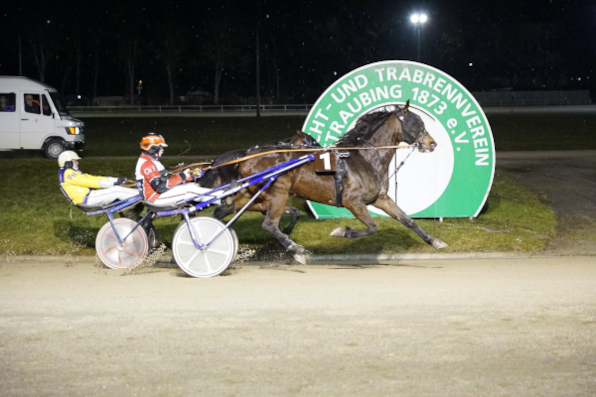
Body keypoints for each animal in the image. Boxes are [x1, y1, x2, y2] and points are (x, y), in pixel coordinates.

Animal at [212, 101, 450, 256]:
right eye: (416, 122)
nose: (432, 143)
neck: (365, 158)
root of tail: (246, 156)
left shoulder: (380, 199)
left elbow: (407, 220)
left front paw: (435, 241)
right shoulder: (353, 202)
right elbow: (372, 227)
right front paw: (342, 231)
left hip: (251, 195)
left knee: (223, 211)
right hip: (278, 191)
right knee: (269, 224)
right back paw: (296, 249)